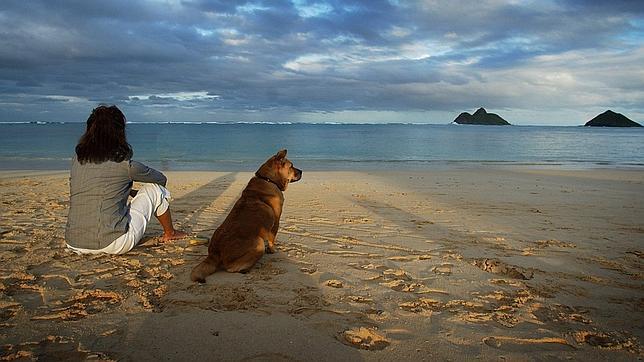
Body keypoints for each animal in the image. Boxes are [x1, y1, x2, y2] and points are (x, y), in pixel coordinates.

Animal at [191, 149, 302, 282]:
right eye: (291, 166)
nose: (302, 171)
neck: (267, 179)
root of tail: (214, 254)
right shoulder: (276, 221)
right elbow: (272, 239)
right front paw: (272, 250)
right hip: (259, 243)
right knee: (231, 269)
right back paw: (247, 268)